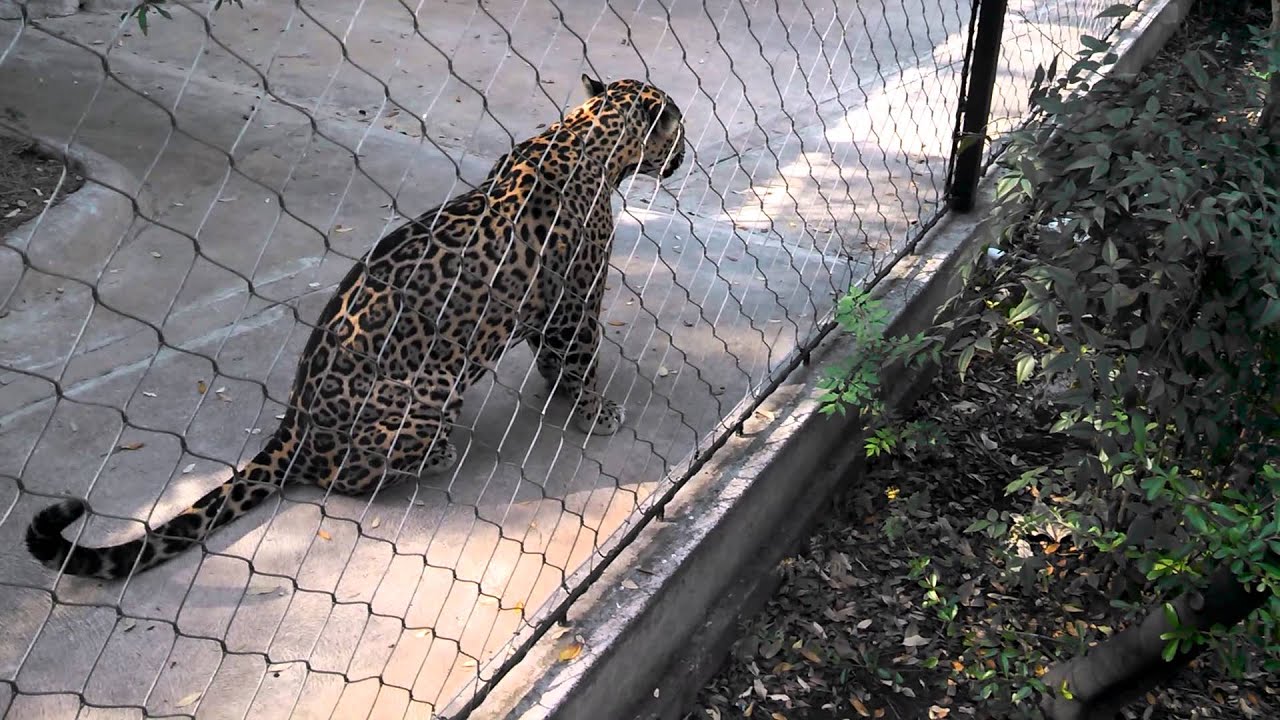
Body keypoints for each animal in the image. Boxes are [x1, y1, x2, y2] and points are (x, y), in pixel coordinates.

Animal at [26, 74, 686, 579]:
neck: (587, 136)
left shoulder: (543, 304)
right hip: (429, 395)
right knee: (344, 476)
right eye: (676, 126)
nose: (685, 154)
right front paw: (594, 411)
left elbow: (552, 358)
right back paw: (437, 456)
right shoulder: (575, 300)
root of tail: (294, 425)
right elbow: (578, 357)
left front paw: (560, 396)